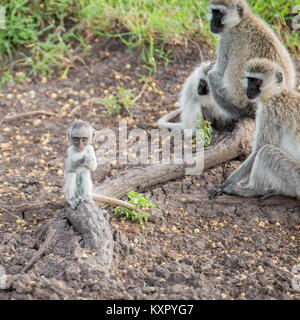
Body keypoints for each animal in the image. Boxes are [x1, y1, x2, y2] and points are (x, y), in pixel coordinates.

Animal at [209, 59, 300, 200]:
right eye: (250, 80)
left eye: (257, 81)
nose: (249, 89)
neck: (277, 92)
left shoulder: (269, 111)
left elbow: (259, 149)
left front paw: (225, 184)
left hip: (295, 177)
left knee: (265, 152)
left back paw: (252, 190)